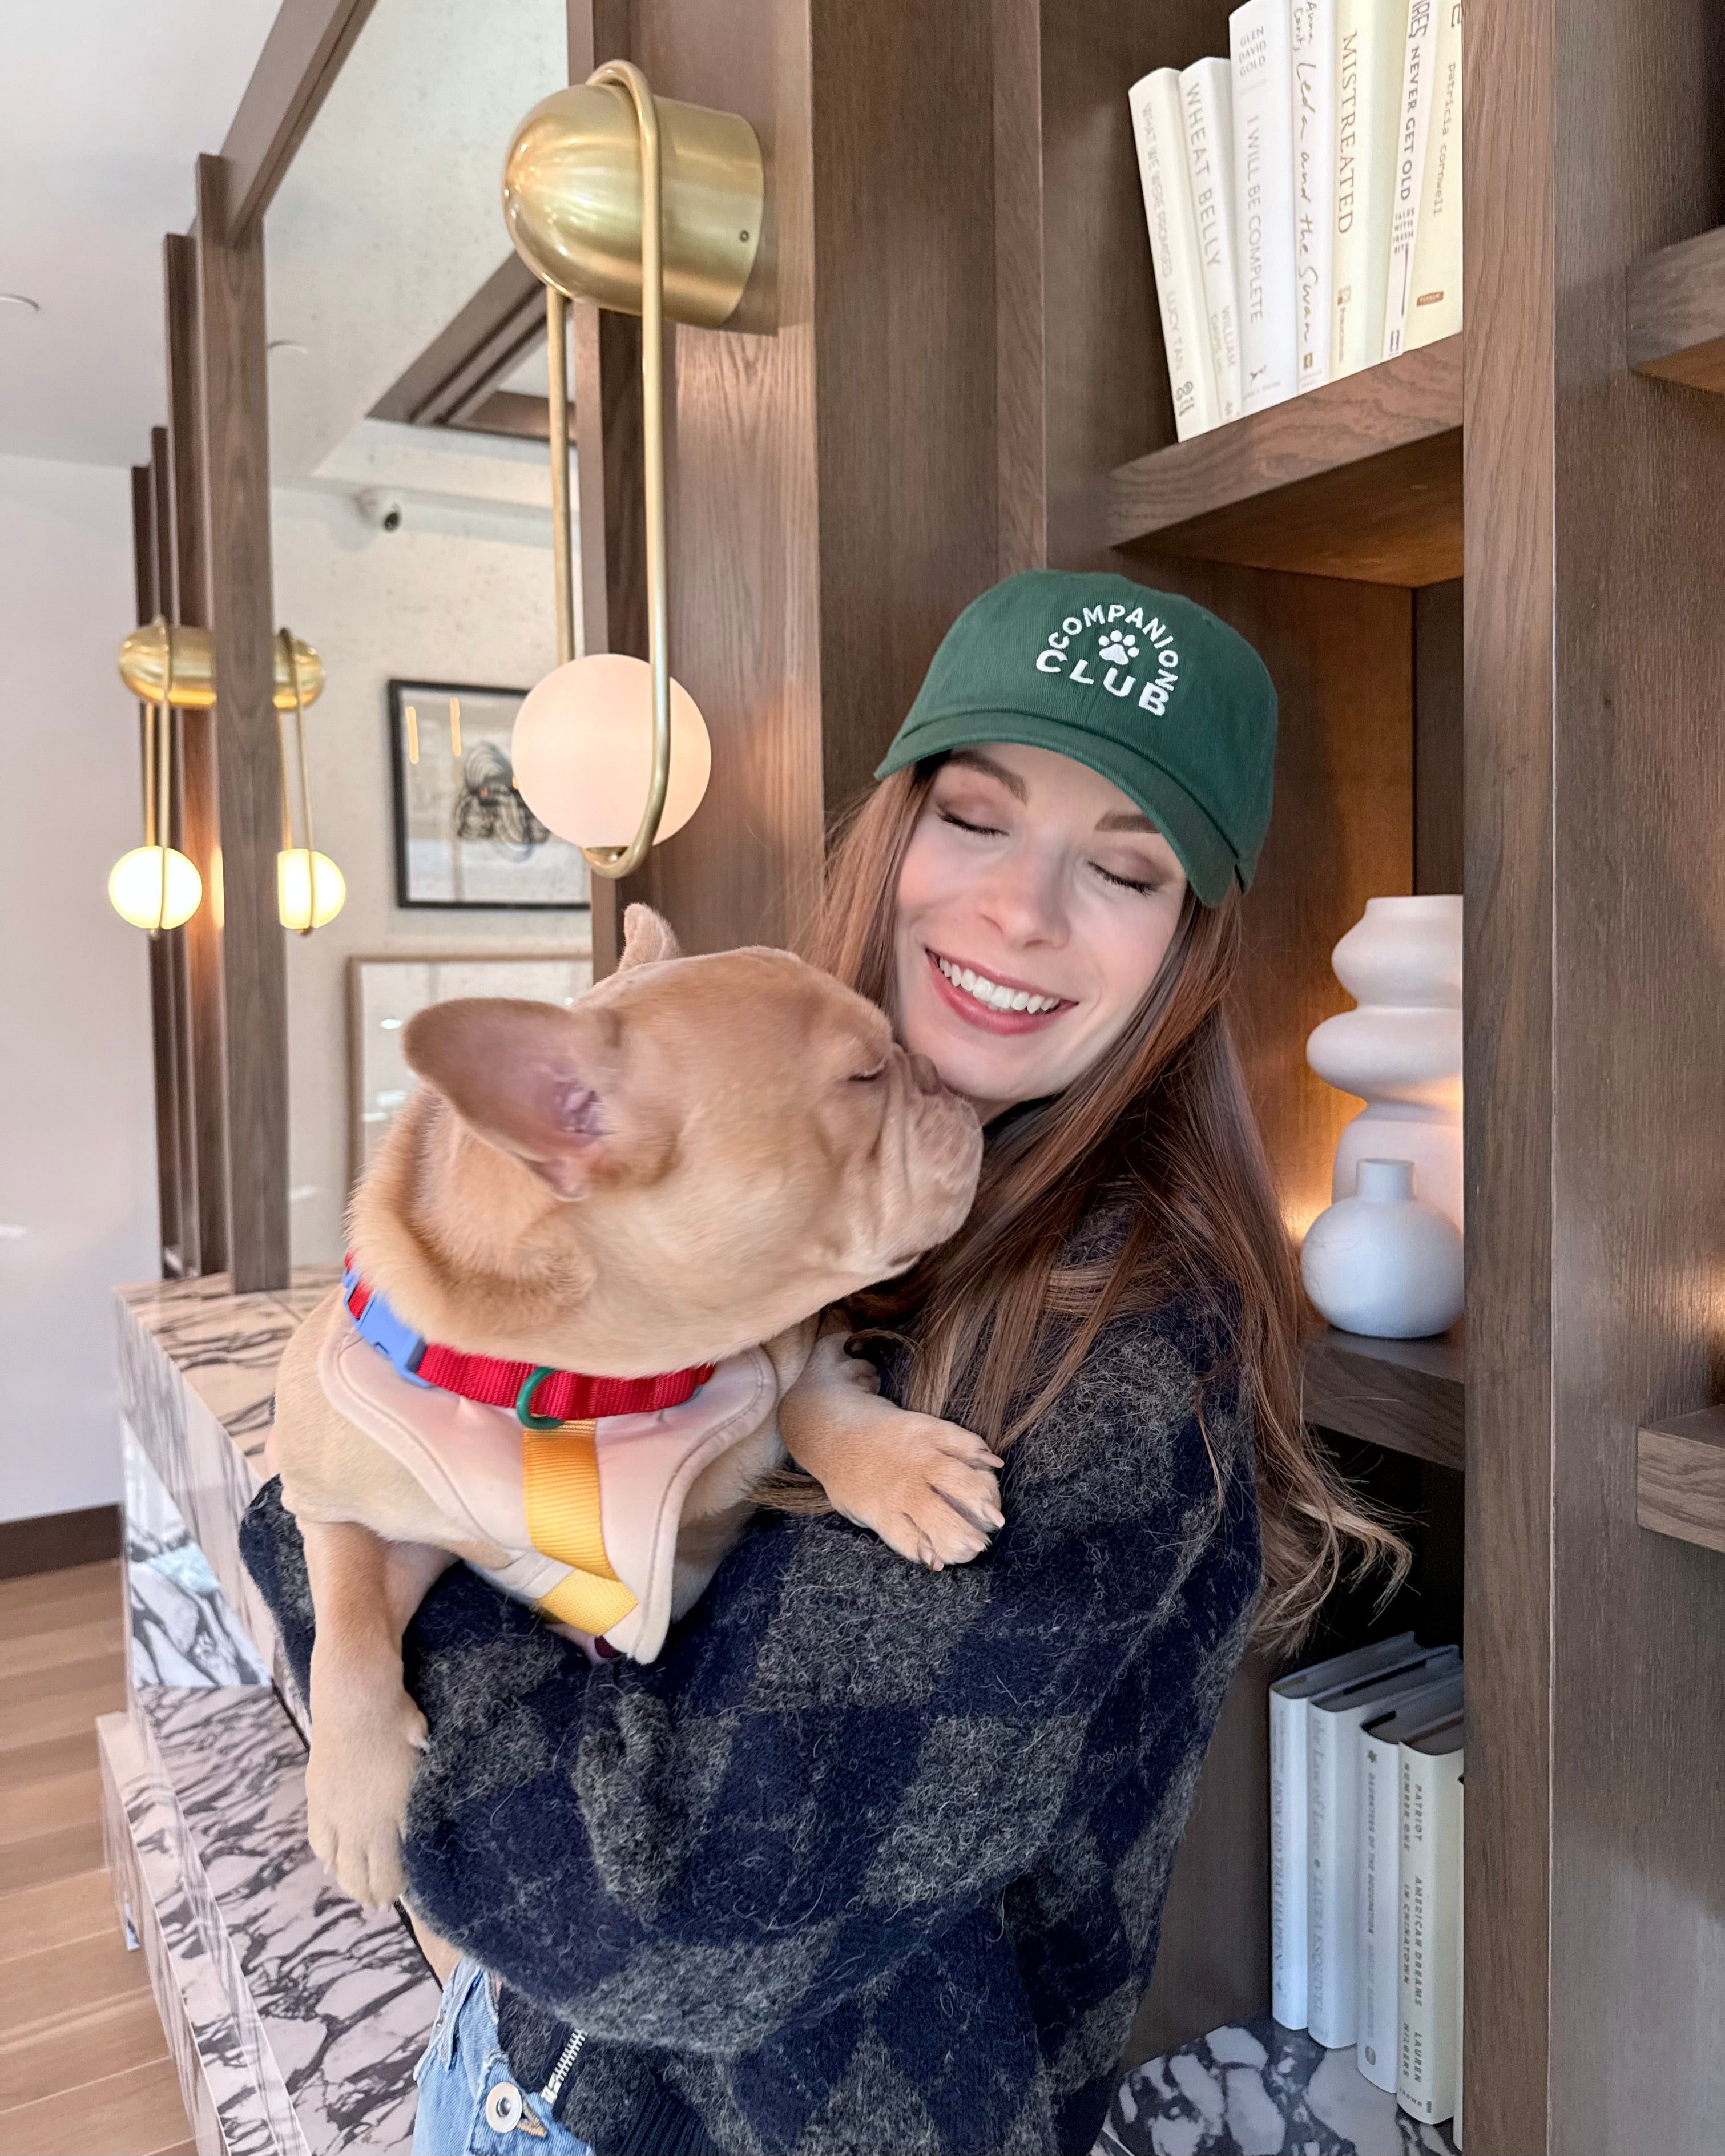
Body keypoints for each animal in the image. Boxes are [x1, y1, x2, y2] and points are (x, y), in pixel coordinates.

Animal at [271, 905, 998, 1908]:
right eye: (863, 1075)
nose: (942, 1079)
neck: (588, 1387)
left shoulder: (799, 1337)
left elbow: (800, 1399)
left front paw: (905, 1475)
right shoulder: (343, 1506)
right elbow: (343, 1631)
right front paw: (351, 1794)